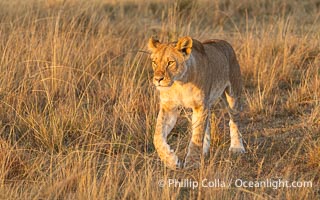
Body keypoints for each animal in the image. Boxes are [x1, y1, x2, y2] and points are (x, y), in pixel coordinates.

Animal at [148, 35, 245, 169]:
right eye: (154, 62)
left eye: (170, 62)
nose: (158, 79)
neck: (179, 83)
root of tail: (223, 42)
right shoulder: (169, 107)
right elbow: (157, 136)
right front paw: (170, 160)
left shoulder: (200, 106)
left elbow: (197, 136)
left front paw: (192, 162)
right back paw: (204, 151)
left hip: (233, 95)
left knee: (234, 121)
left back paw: (237, 147)